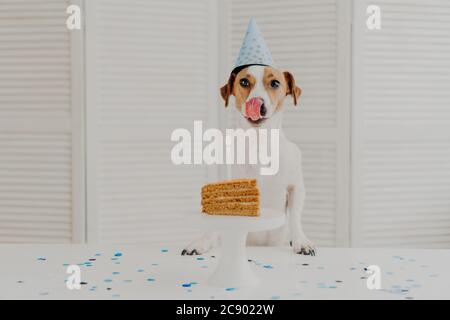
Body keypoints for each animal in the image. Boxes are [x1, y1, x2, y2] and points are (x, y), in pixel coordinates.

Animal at [182, 64, 316, 255]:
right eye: (244, 82)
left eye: (275, 83)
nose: (258, 104)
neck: (258, 144)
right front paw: (202, 242)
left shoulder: (296, 187)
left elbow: (296, 217)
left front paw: (301, 241)